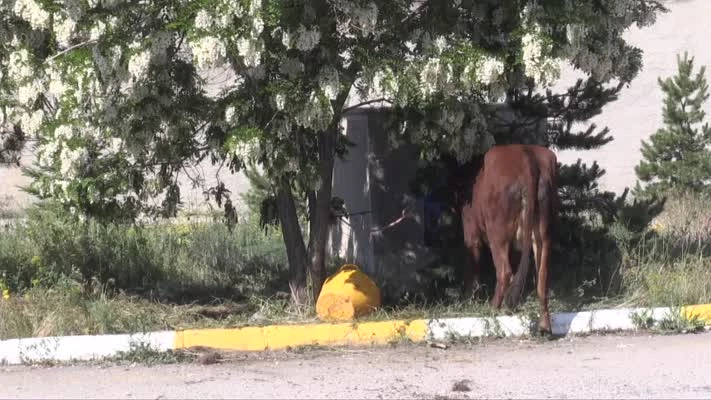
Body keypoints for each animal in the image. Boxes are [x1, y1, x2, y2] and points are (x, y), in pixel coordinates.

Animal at [458, 144, 560, 334]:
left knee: (505, 272)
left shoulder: (471, 232)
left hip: (497, 234)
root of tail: (525, 154)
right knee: (542, 279)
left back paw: (493, 309)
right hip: (544, 234)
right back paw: (544, 327)